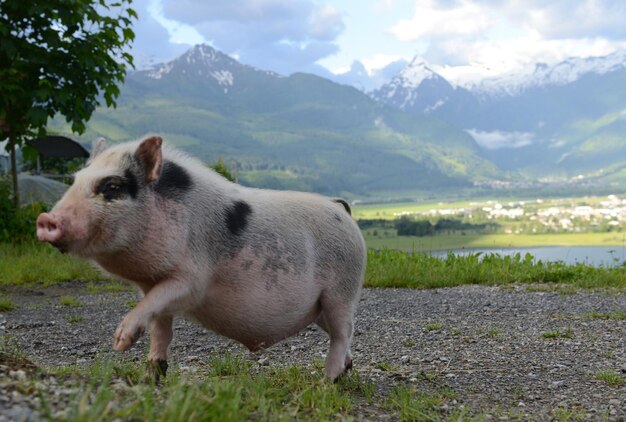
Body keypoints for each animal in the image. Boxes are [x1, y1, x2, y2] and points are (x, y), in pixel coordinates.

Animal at [35, 137, 366, 380]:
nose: (45, 219)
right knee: (341, 334)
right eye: (74, 180)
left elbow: (157, 306)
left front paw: (120, 342)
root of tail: (341, 208)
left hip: (343, 289)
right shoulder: (153, 287)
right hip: (318, 306)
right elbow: (161, 330)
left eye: (112, 186)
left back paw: (327, 384)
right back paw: (344, 372)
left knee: (344, 332)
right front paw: (151, 378)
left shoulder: (193, 280)